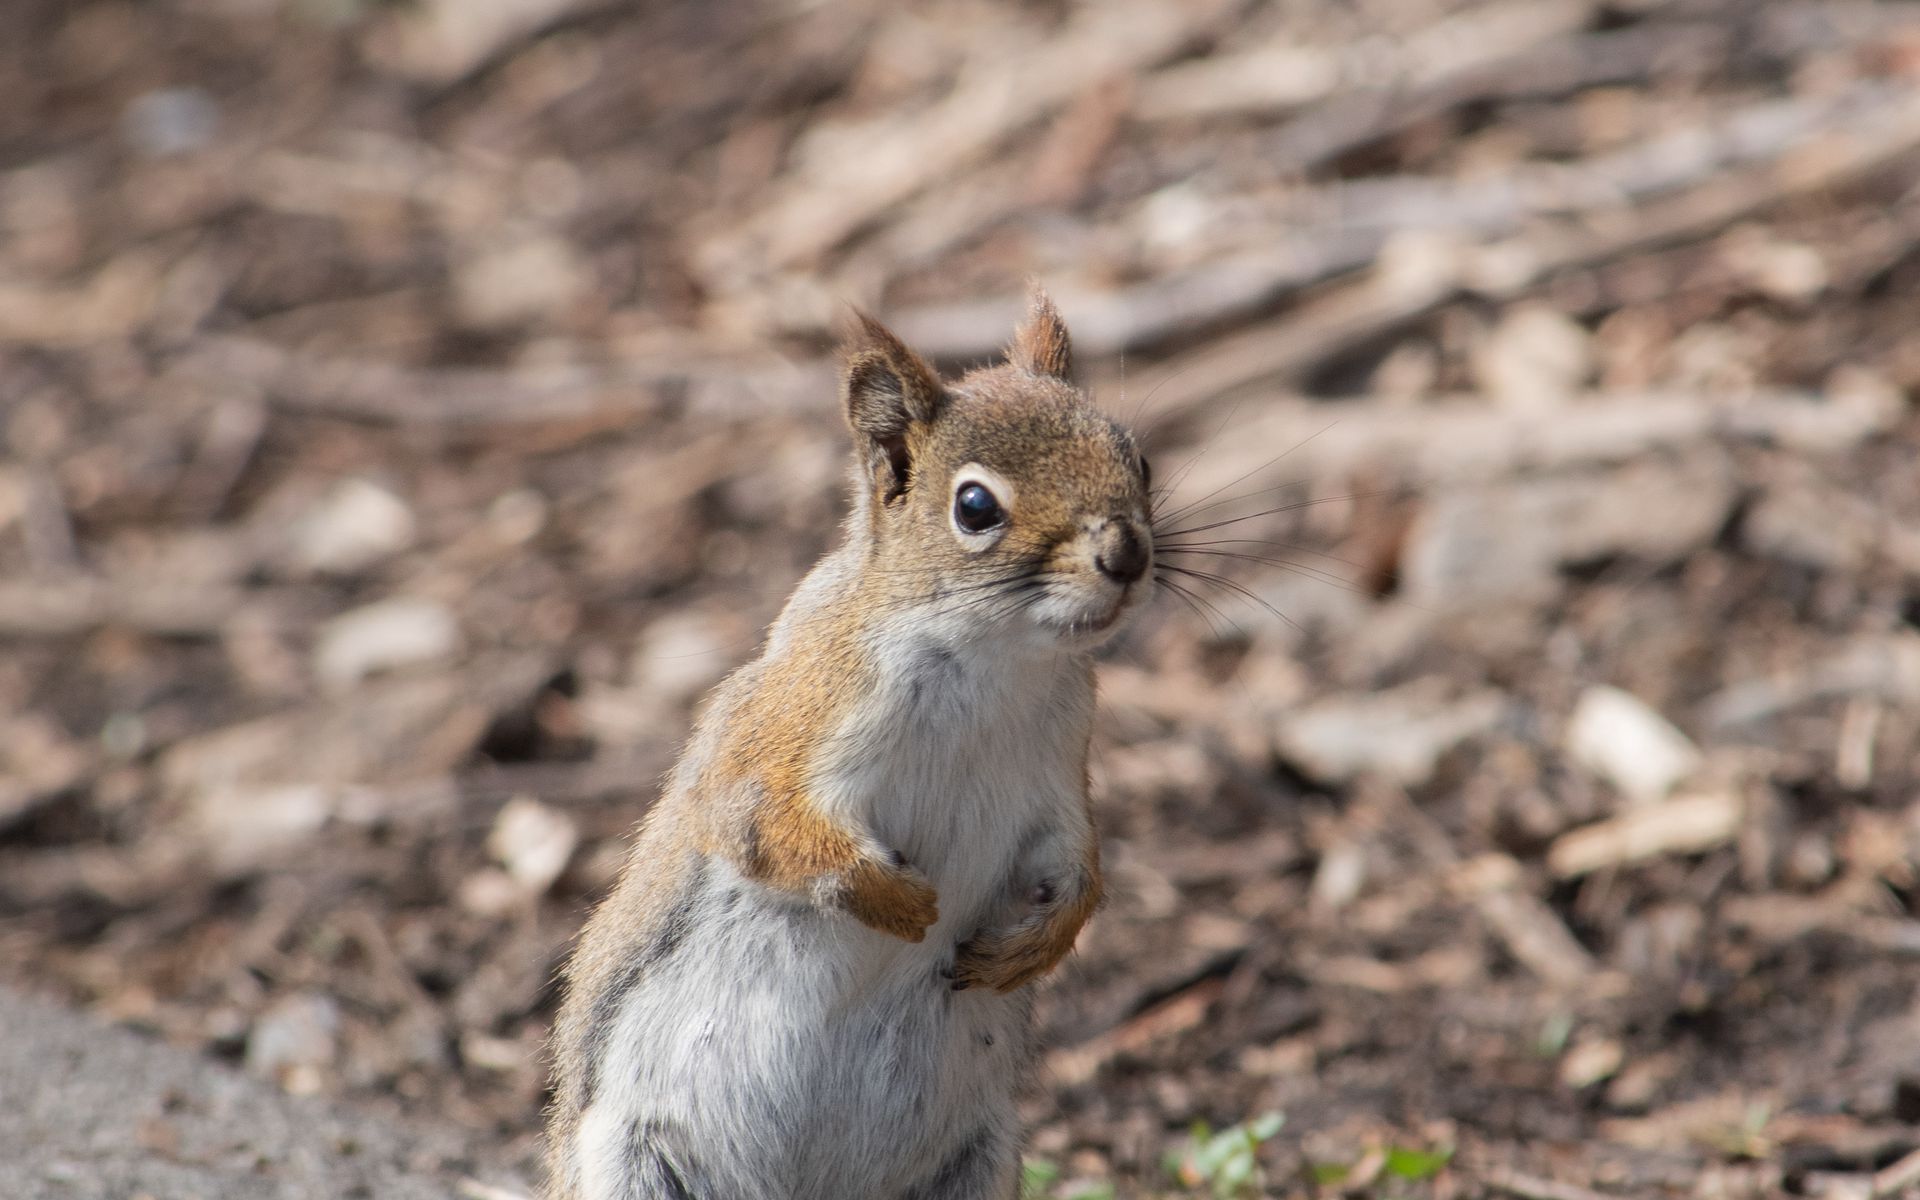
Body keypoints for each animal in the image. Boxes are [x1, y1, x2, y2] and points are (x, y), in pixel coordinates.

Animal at [541, 288, 1144, 1198]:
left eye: (1135, 455)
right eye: (975, 507)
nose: (1128, 553)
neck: (994, 663)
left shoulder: (1059, 774)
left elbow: (1078, 871)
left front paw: (1033, 946)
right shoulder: (791, 727)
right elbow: (762, 827)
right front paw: (897, 901)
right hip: (629, 1163)